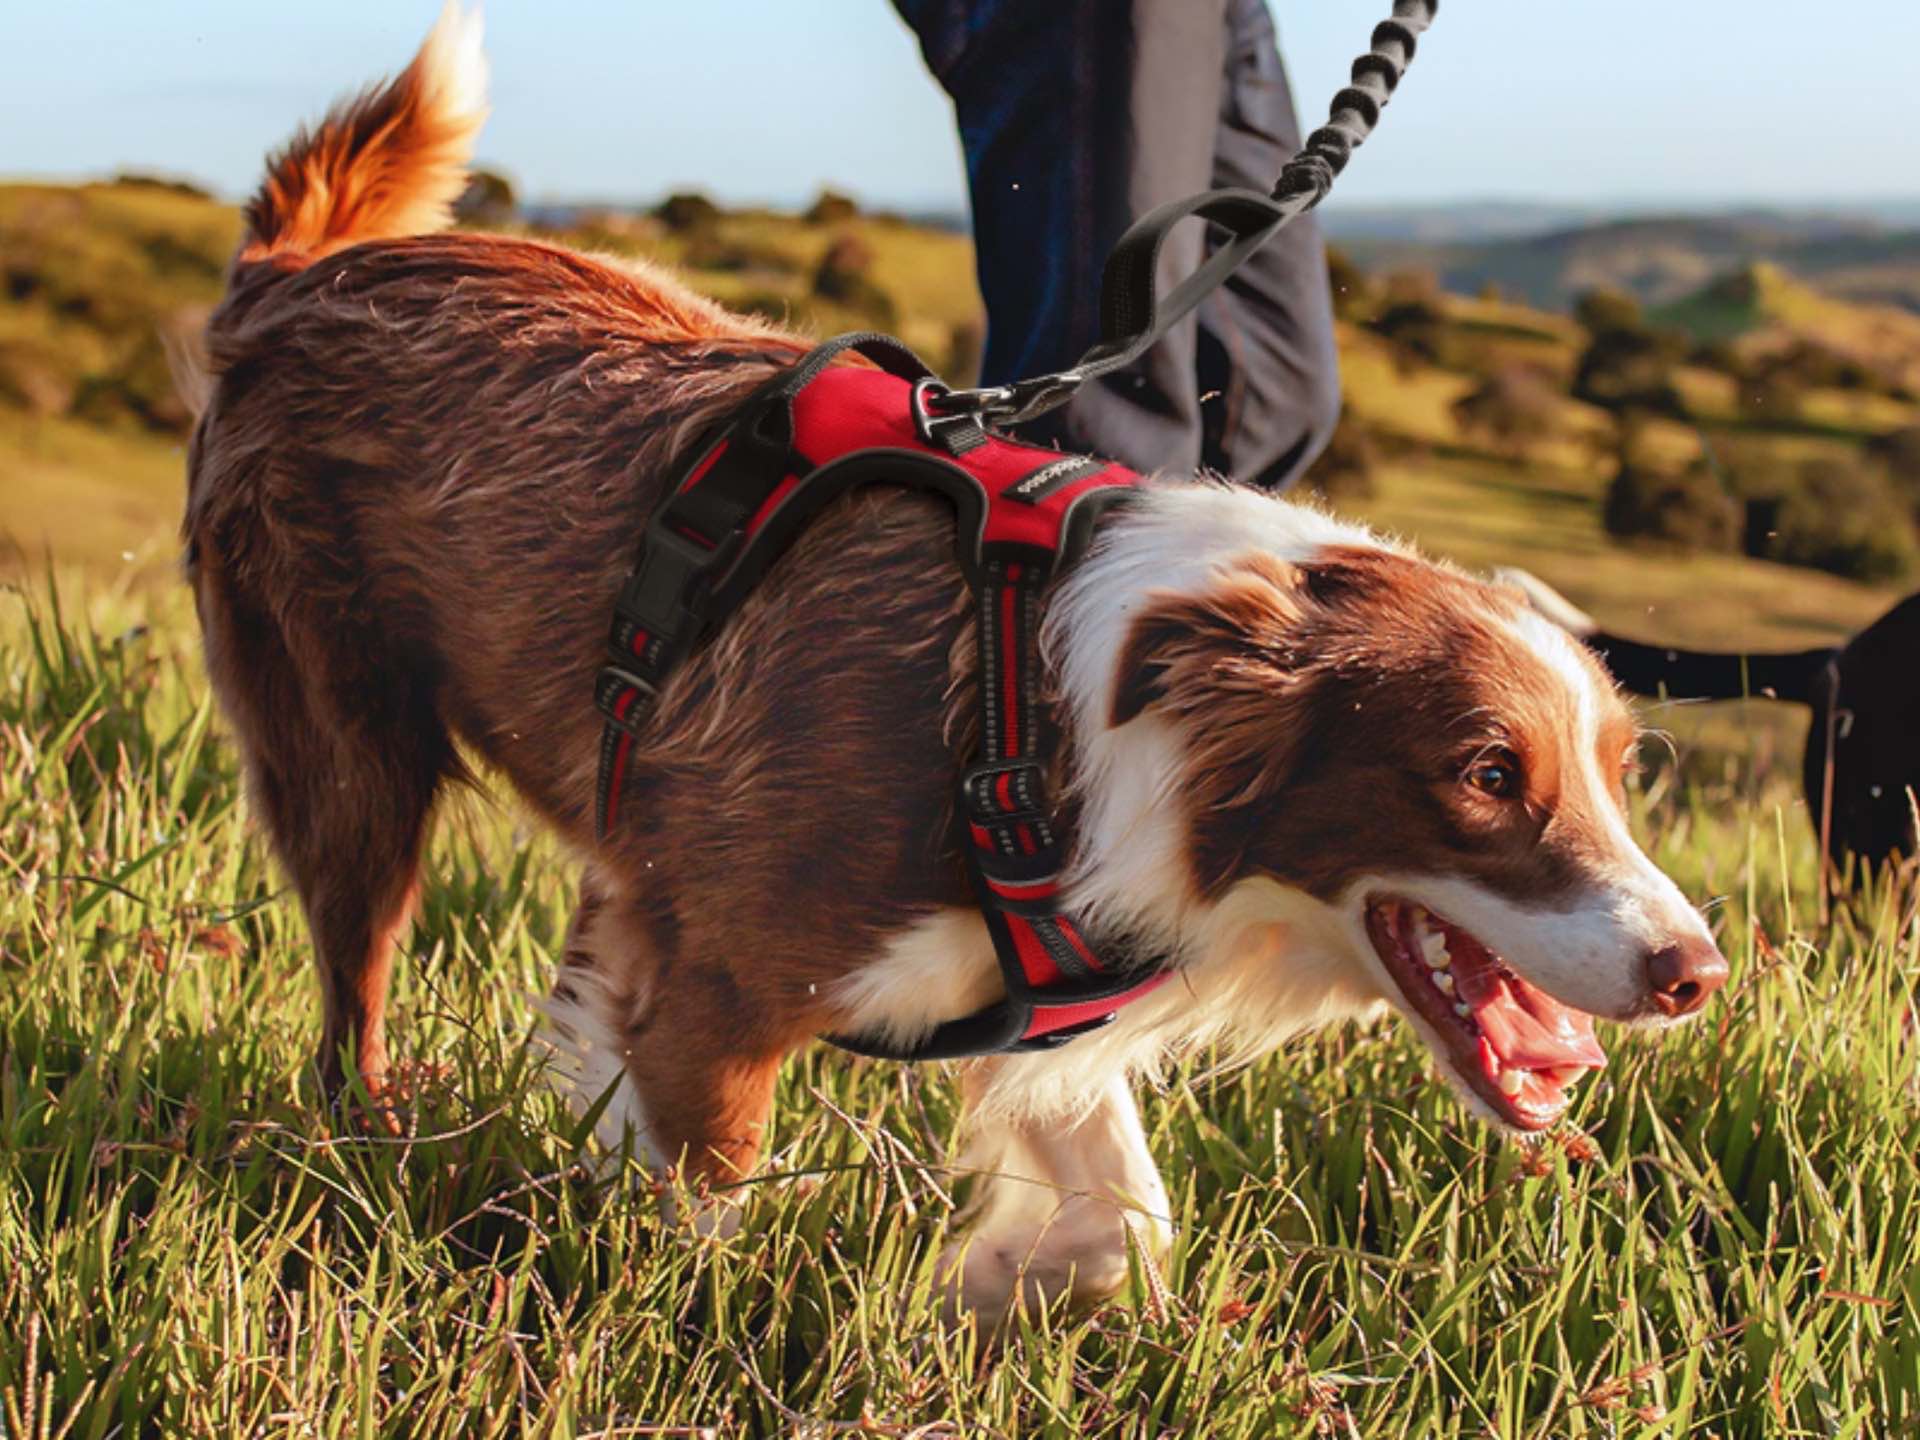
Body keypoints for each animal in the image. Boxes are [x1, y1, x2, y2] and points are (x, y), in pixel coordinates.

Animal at [191, 8, 1728, 1320]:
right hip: (346, 751)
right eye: (1487, 773)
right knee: (351, 983)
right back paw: (367, 1135)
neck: (1045, 725)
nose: (1695, 974)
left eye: (1618, 772)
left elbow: (1128, 1214)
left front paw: (1024, 1295)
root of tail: (300, 275)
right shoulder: (718, 985)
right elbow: (703, 1208)